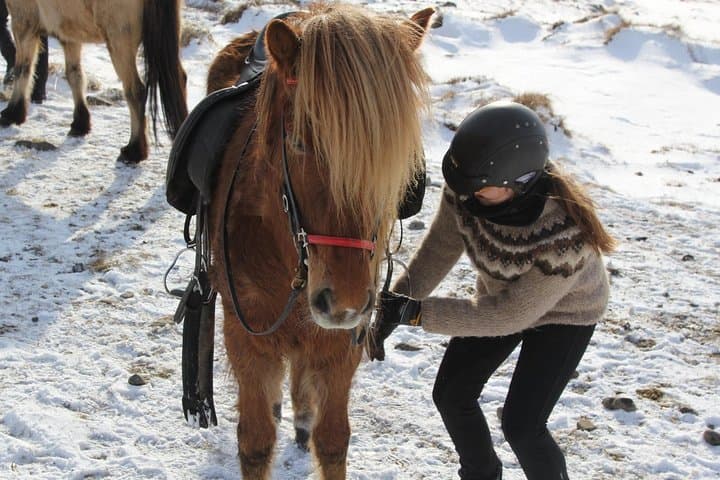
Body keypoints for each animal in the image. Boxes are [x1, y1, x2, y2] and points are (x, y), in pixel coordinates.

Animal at [1, 0, 187, 163]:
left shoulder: (23, 21)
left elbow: (23, 69)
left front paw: (13, 113)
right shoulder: (69, 34)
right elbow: (75, 75)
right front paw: (80, 123)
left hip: (120, 42)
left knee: (135, 90)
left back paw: (134, 150)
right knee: (179, 78)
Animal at [204, 4, 433, 479]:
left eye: (394, 161)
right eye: (297, 142)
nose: (343, 300)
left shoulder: (340, 346)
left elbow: (333, 440)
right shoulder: (246, 341)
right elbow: (255, 442)